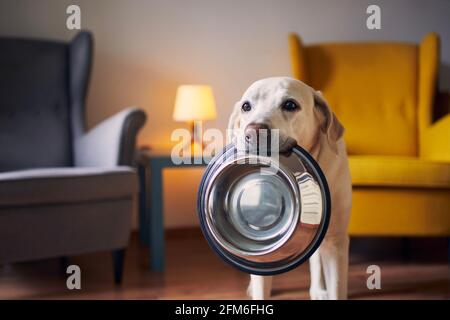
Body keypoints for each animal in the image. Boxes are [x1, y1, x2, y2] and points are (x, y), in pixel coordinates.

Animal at [229, 77, 352, 300]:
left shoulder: (336, 240)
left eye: (290, 105)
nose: (253, 131)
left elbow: (336, 288)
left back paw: (318, 289)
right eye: (246, 106)